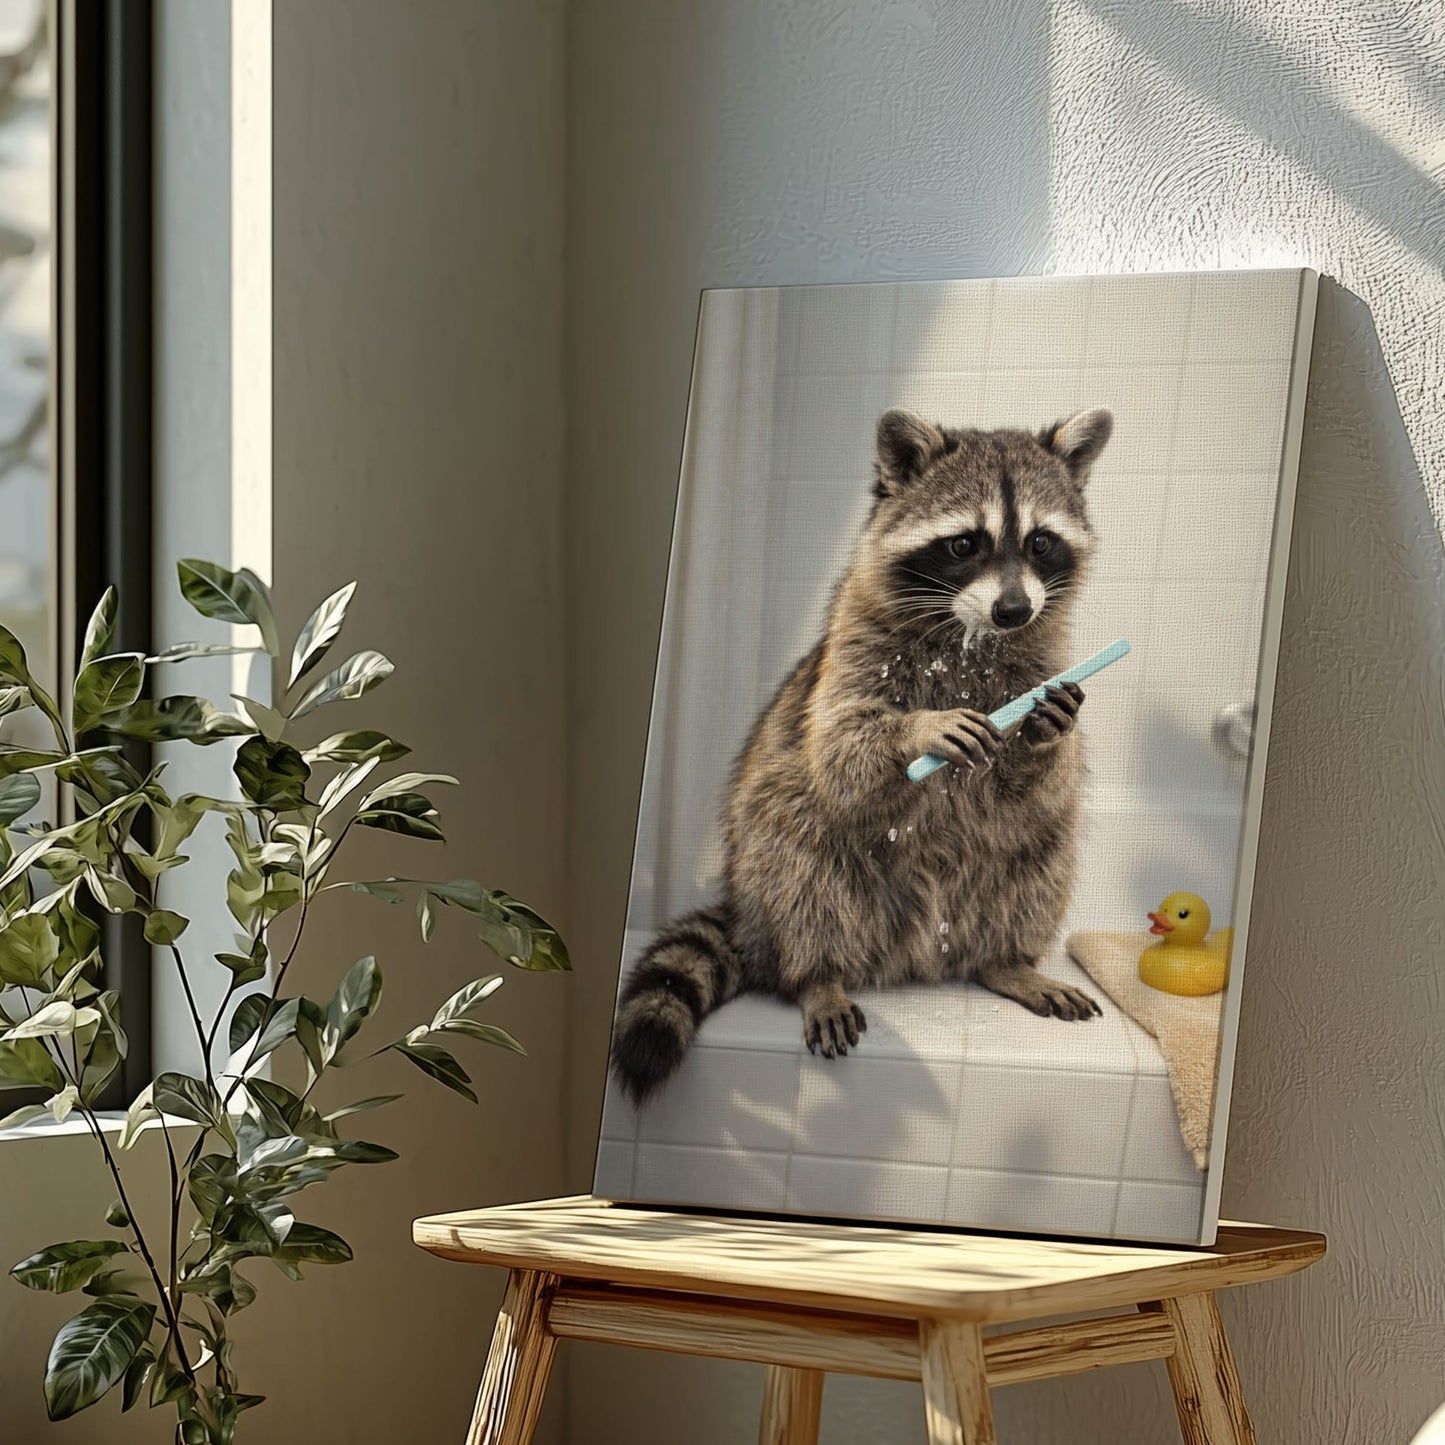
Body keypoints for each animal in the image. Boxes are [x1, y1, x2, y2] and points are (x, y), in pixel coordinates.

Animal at [611, 406, 1113, 1104]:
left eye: (1041, 542)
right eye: (965, 544)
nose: (1014, 611)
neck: (969, 634)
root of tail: (913, 957)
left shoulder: (1042, 655)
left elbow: (1038, 785)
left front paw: (1049, 729)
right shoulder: (855, 642)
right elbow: (841, 749)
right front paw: (917, 730)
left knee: (1042, 844)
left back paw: (1006, 962)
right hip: (781, 861)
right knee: (798, 846)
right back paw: (817, 976)